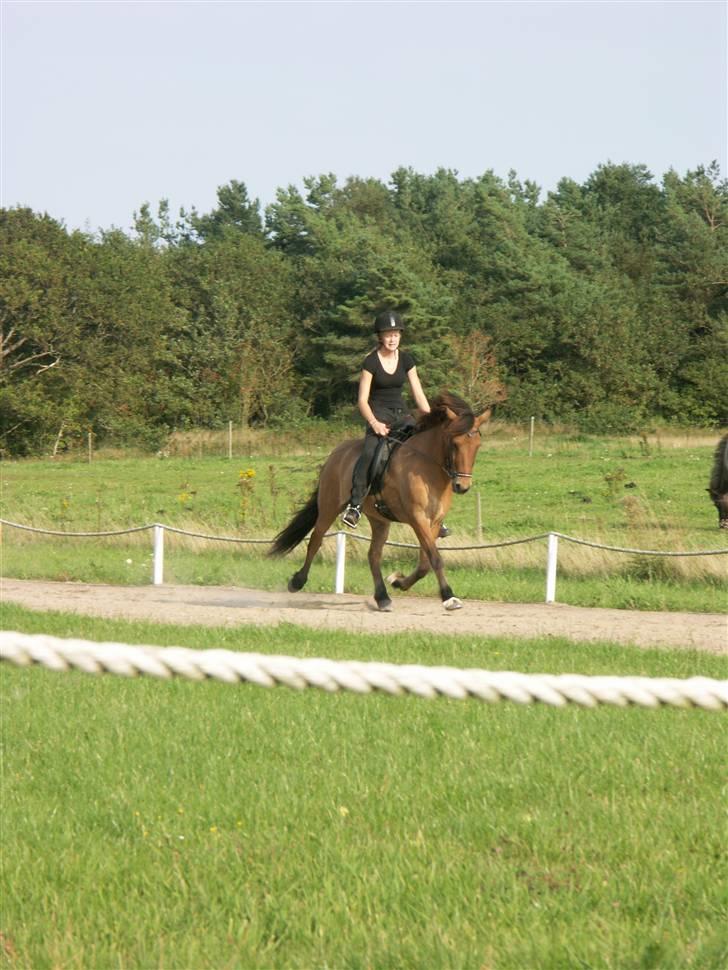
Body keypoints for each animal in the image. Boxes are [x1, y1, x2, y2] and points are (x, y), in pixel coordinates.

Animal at [268, 390, 490, 608]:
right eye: (454, 444)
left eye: (477, 445)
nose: (462, 486)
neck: (429, 467)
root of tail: (336, 453)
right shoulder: (417, 518)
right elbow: (435, 558)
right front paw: (448, 596)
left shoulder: (433, 522)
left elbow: (425, 562)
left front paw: (398, 582)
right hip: (329, 507)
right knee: (315, 540)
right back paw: (297, 582)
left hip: (379, 520)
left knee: (373, 555)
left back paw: (382, 597)